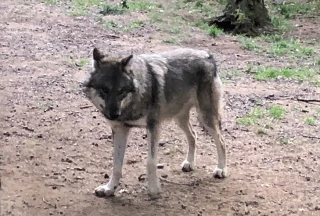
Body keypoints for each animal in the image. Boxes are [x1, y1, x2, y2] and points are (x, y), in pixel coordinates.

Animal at [82, 47, 228, 199]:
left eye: (121, 91)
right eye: (104, 89)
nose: (114, 115)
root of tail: (207, 54)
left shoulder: (153, 127)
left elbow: (151, 162)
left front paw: (153, 189)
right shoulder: (120, 129)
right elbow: (116, 165)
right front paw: (109, 188)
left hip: (206, 118)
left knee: (221, 141)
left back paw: (221, 169)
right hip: (180, 119)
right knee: (193, 135)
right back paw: (189, 163)